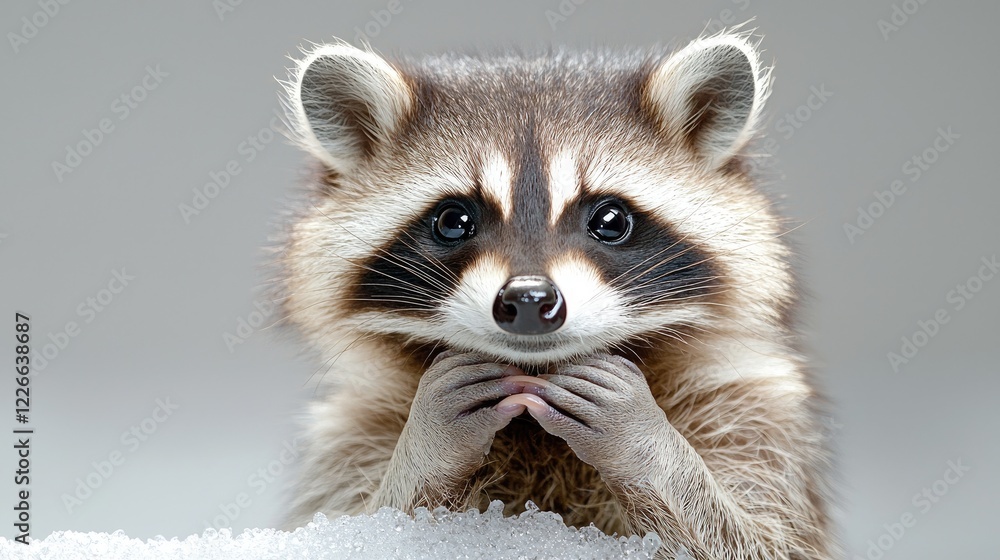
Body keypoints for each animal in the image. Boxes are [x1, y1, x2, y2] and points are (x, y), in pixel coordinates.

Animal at [276, 30, 837, 559]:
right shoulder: (352, 430)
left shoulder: (753, 411)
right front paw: (427, 442)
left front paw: (644, 439)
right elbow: (359, 526)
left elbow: (760, 539)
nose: (528, 300)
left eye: (610, 220)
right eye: (453, 221)